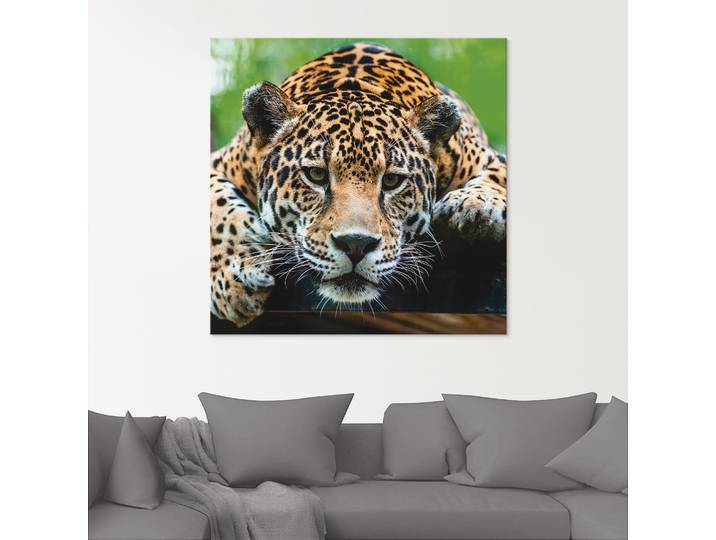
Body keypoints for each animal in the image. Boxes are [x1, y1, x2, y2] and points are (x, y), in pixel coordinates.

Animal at [210, 43, 507, 327]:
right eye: (316, 175)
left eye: (392, 180)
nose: (355, 244)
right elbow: (219, 208)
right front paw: (235, 277)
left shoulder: (490, 158)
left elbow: (496, 178)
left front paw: (473, 205)